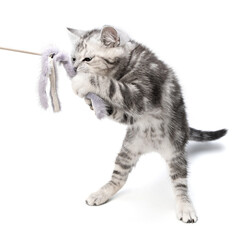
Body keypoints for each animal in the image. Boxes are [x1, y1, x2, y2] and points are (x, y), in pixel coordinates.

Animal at [67, 26, 227, 223]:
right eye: (74, 58)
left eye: (88, 59)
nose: (74, 68)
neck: (128, 63)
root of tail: (153, 146)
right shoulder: (132, 115)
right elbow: (118, 107)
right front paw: (93, 101)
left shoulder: (142, 95)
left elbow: (111, 85)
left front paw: (83, 81)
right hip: (128, 149)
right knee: (119, 177)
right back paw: (102, 193)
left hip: (175, 152)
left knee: (180, 183)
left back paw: (185, 206)